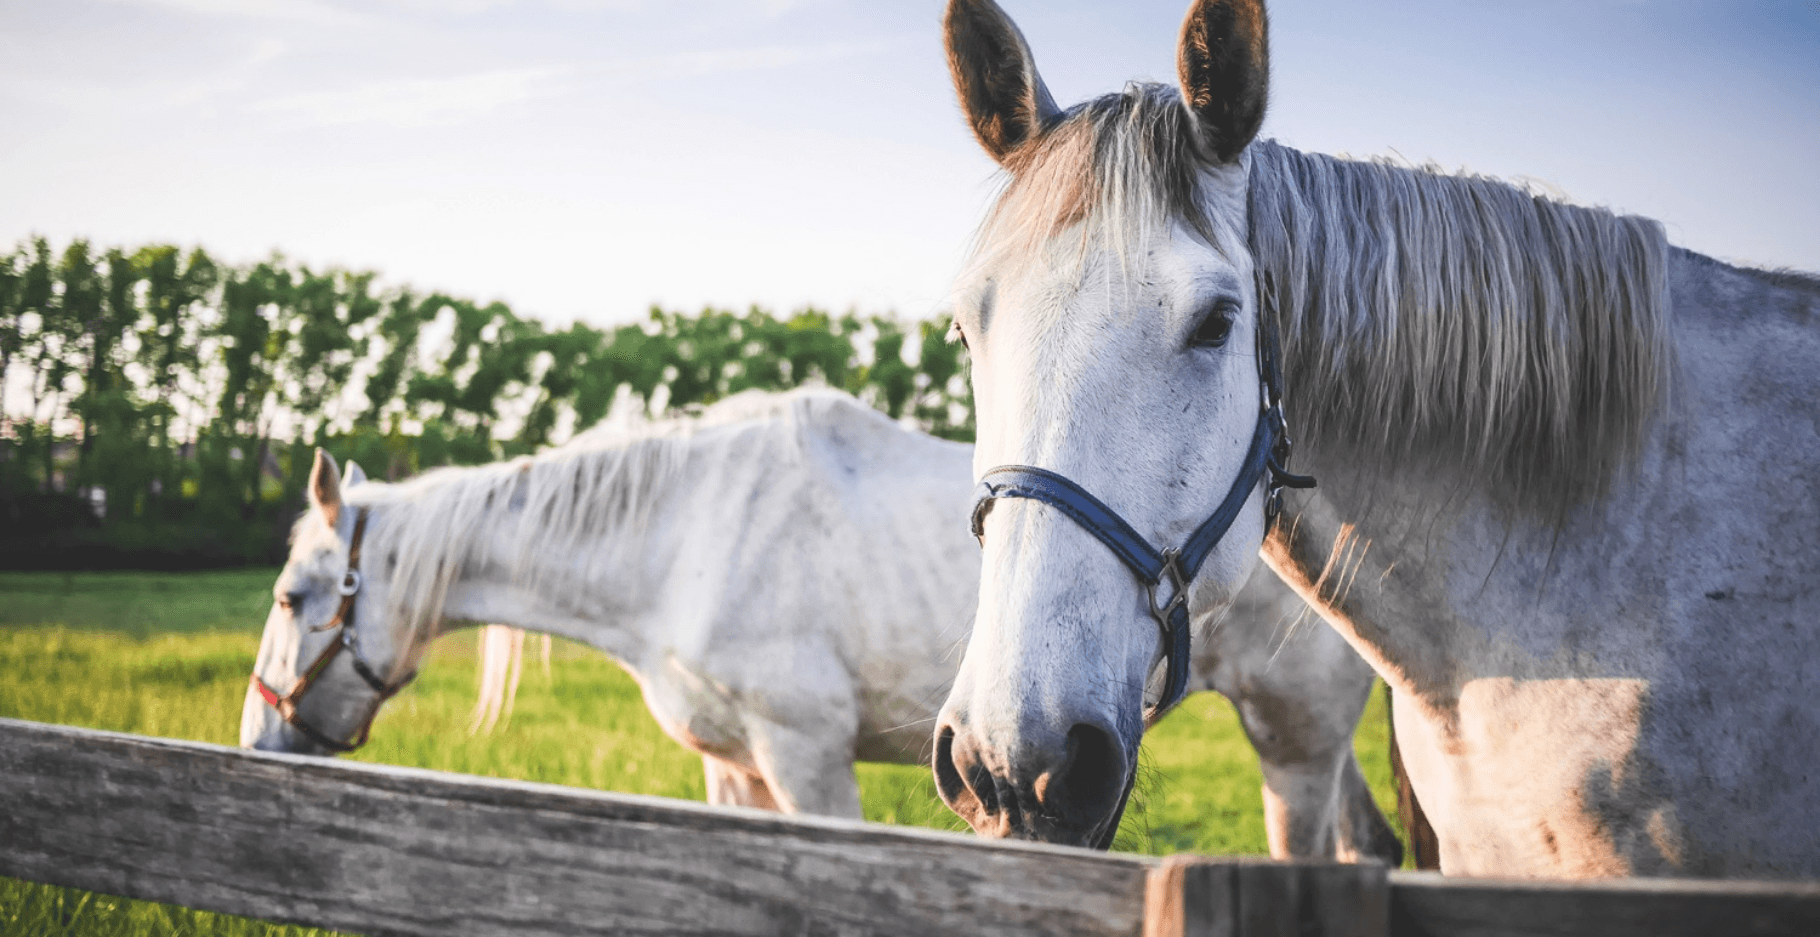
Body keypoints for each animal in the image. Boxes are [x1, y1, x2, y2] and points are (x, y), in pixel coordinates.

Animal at [242, 385, 1397, 862]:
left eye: (295, 597)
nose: (256, 742)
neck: (681, 532)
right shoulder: (734, 769)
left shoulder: (806, 759)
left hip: (1292, 745)